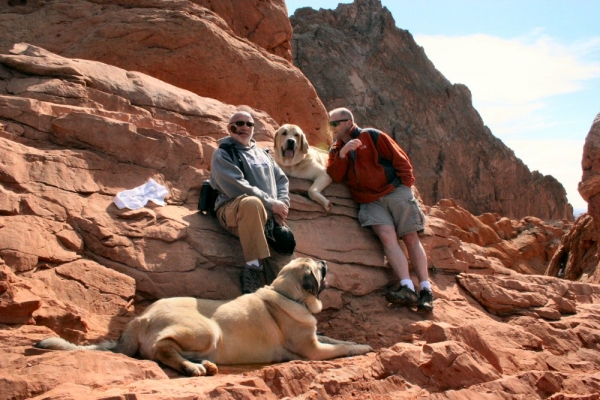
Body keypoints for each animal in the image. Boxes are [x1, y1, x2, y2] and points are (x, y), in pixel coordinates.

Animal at [35, 258, 372, 376]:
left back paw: (202, 364)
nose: (326, 262)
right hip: (208, 330)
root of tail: (138, 319)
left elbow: (335, 337)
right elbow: (341, 348)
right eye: (319, 268)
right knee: (161, 349)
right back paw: (192, 368)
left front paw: (353, 341)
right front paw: (362, 347)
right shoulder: (312, 350)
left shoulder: (317, 338)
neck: (290, 294)